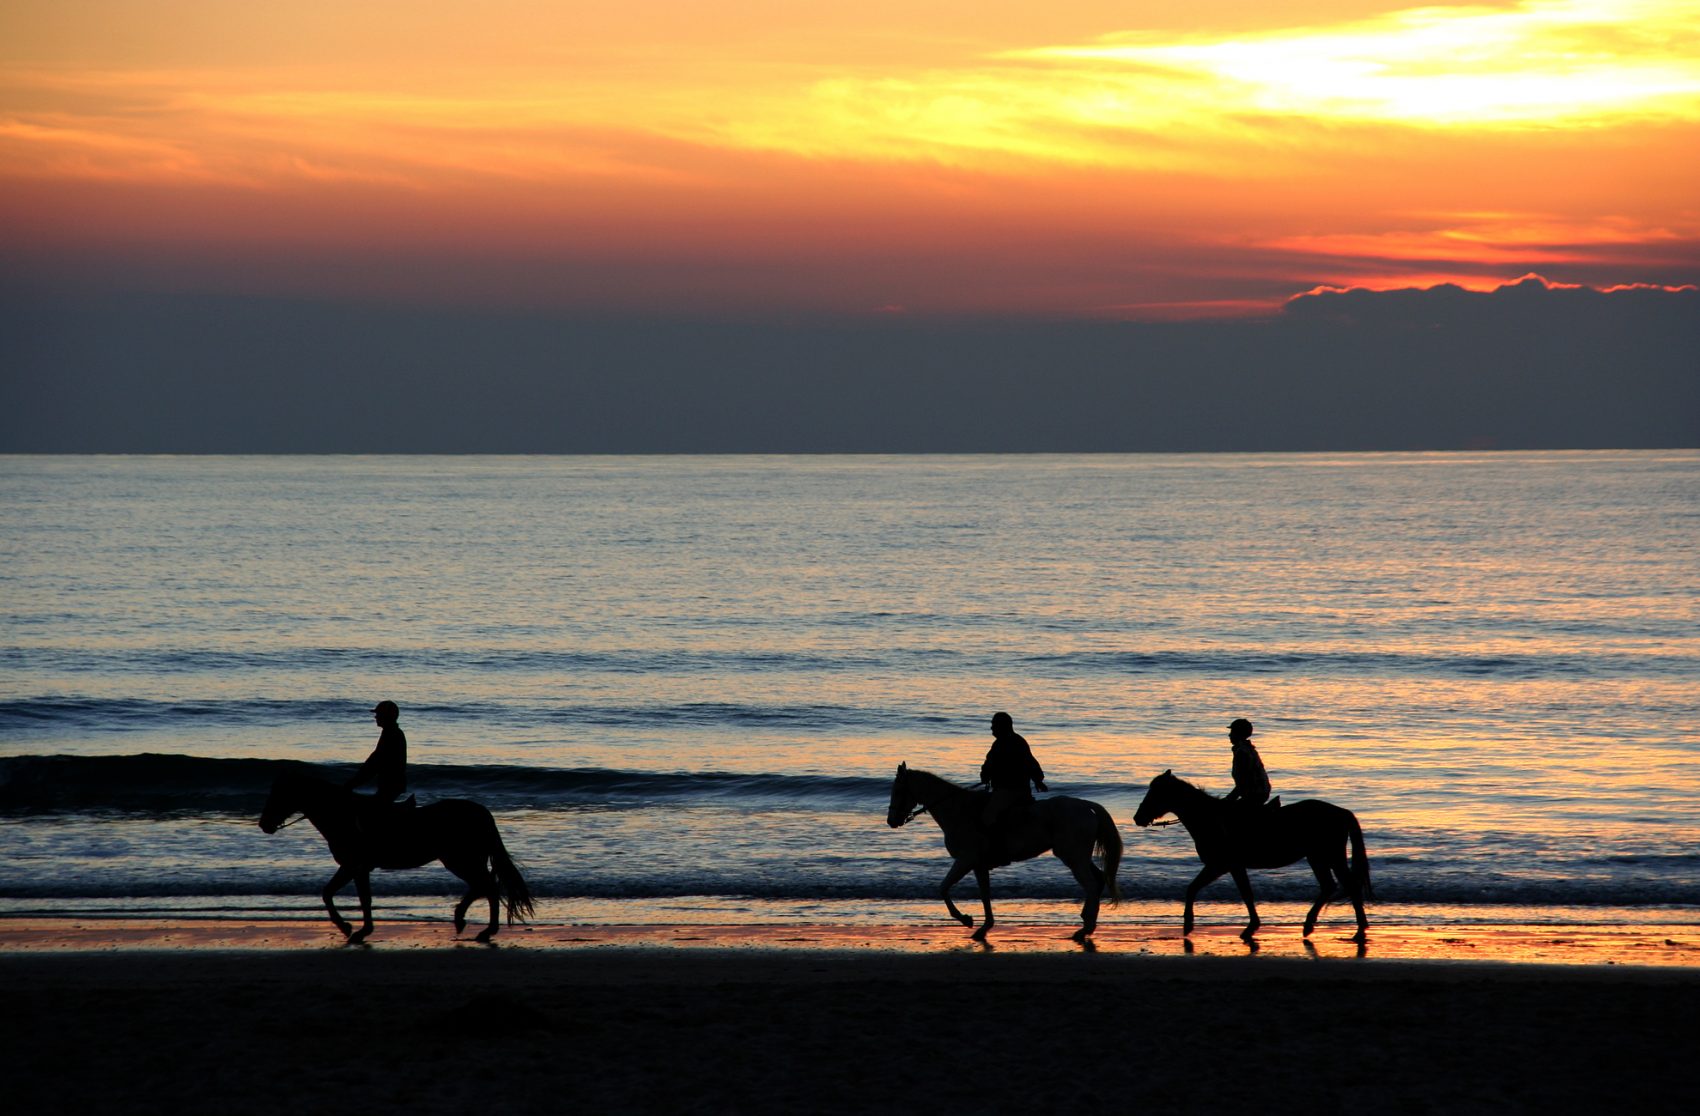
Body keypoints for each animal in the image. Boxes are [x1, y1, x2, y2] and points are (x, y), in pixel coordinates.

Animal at [255, 768, 533, 939]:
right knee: (482, 886)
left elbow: (353, 897)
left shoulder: (355, 866)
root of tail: (482, 813)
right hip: (463, 860)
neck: (342, 815)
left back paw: (486, 930)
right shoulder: (354, 867)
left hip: (460, 860)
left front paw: (354, 929)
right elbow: (337, 894)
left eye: (279, 794)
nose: (264, 824)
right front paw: (353, 928)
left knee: (488, 887)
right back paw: (461, 919)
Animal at [884, 762, 1122, 939]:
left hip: (1073, 858)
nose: (891, 821)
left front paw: (966, 919)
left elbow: (943, 888)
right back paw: (1086, 922)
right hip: (1079, 857)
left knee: (1091, 885)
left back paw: (1085, 928)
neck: (959, 811)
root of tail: (1086, 805)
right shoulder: (978, 865)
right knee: (1098, 880)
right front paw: (984, 927)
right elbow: (984, 895)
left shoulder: (965, 860)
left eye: (898, 791)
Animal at [1135, 772, 1373, 945]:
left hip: (1330, 856)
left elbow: (1197, 888)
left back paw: (1359, 931)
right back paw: (1310, 926)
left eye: (1155, 793)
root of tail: (1342, 812)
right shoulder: (1232, 866)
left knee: (1349, 885)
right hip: (1317, 857)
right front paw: (1251, 927)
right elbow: (1244, 893)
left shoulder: (1221, 865)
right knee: (1329, 886)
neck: (1210, 819)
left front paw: (1189, 924)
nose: (1138, 818)